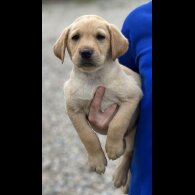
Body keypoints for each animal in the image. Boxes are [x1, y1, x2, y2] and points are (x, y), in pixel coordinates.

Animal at [52, 14, 142, 192]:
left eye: (100, 37)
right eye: (75, 37)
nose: (86, 52)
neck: (93, 78)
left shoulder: (133, 95)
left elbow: (117, 123)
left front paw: (113, 148)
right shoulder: (73, 109)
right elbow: (87, 135)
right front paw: (97, 161)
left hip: (133, 132)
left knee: (129, 152)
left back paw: (119, 174)